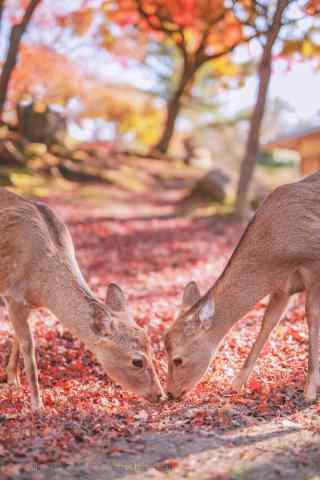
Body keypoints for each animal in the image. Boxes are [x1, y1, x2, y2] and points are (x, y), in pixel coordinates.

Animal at [0, 187, 164, 408]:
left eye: (154, 352)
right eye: (137, 361)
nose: (160, 395)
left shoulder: (26, 304)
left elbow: (18, 338)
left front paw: (12, 380)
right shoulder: (13, 294)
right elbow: (29, 347)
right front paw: (37, 405)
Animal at [166, 172, 320, 404]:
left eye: (178, 359)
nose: (170, 393)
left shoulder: (313, 269)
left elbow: (311, 317)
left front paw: (310, 391)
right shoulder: (283, 288)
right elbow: (268, 323)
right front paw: (236, 384)